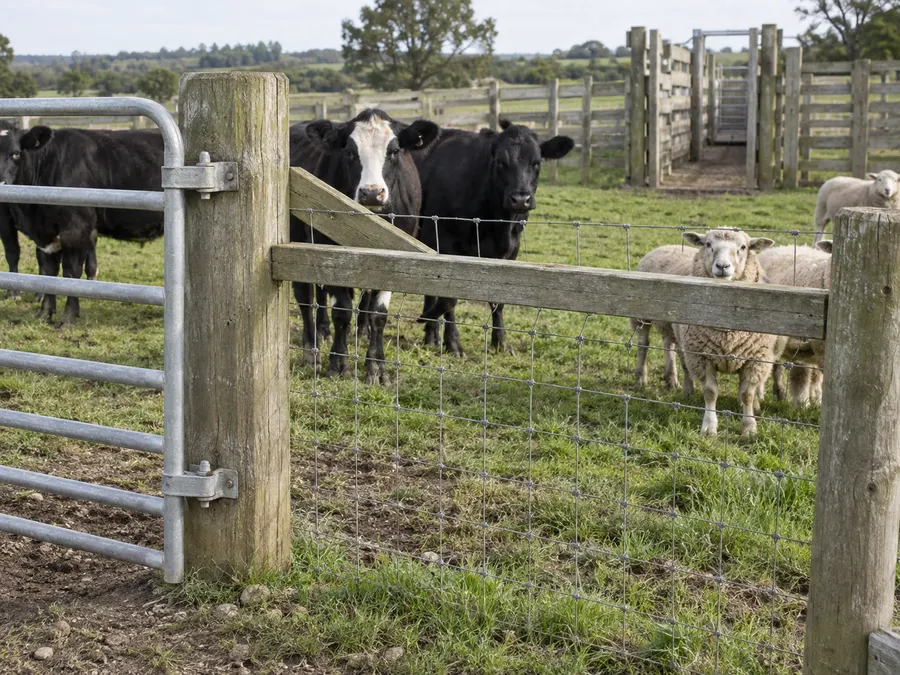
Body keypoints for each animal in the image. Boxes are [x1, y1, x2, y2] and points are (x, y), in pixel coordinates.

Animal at [0, 125, 163, 326]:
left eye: (15, 153)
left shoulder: (75, 228)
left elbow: (71, 272)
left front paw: (68, 319)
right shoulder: (47, 235)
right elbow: (48, 273)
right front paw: (44, 314)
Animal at [290, 109, 439, 384]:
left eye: (394, 150)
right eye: (349, 151)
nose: (372, 193)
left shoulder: (398, 257)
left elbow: (377, 314)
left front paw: (377, 368)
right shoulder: (331, 255)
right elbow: (342, 311)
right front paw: (338, 364)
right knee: (305, 299)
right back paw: (311, 351)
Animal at [412, 120, 574, 356]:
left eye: (537, 162)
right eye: (500, 162)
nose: (520, 199)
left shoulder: (511, 250)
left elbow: (498, 299)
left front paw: (502, 343)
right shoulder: (443, 242)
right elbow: (449, 298)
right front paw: (453, 344)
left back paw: (431, 335)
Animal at [629, 244, 696, 390]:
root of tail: (665, 246)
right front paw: (689, 391)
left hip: (668, 322)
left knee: (668, 344)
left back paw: (671, 378)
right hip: (641, 316)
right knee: (643, 344)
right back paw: (641, 379)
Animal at [673, 228, 776, 438]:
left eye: (743, 247)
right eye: (708, 244)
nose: (722, 266)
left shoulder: (755, 359)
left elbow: (747, 393)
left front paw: (749, 427)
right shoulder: (701, 356)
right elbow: (710, 392)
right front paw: (709, 426)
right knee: (686, 367)